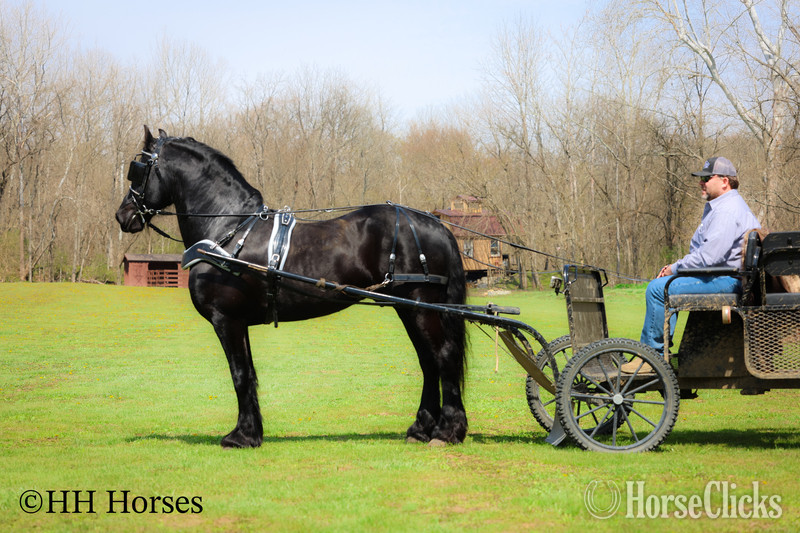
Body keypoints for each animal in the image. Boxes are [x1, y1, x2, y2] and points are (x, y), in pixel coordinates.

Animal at [115, 126, 468, 448]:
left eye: (138, 168)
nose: (123, 215)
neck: (228, 231)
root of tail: (436, 224)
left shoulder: (226, 319)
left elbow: (239, 374)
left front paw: (240, 437)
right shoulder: (239, 322)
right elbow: (249, 373)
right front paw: (252, 432)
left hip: (420, 305)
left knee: (444, 356)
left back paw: (447, 431)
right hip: (408, 307)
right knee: (428, 362)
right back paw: (421, 428)